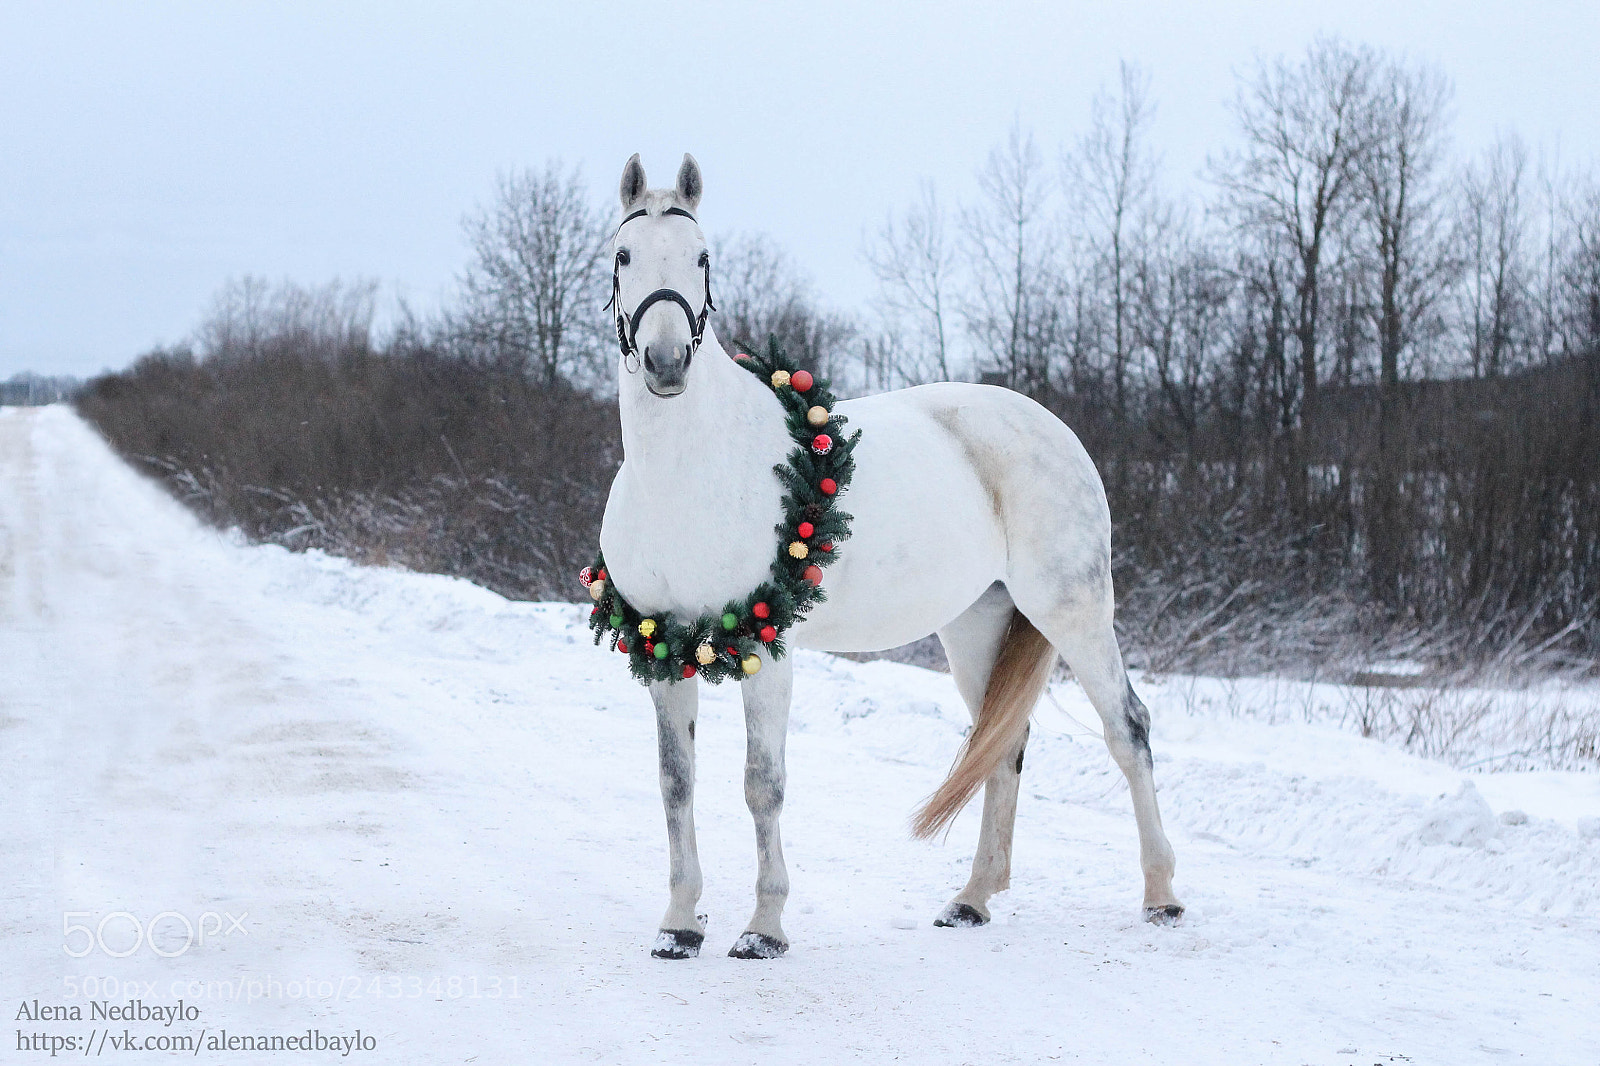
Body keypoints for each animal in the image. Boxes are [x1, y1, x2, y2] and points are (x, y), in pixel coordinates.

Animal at [598, 153, 1182, 960]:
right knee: (1004, 742)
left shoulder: (765, 646)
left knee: (1128, 728)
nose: (664, 361)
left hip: (1075, 610)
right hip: (978, 625)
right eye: (624, 256)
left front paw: (763, 929)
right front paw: (680, 924)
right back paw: (971, 900)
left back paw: (1161, 895)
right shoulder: (665, 644)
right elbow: (675, 783)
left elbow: (762, 783)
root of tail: (1052, 428)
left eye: (702, 258)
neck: (687, 469)